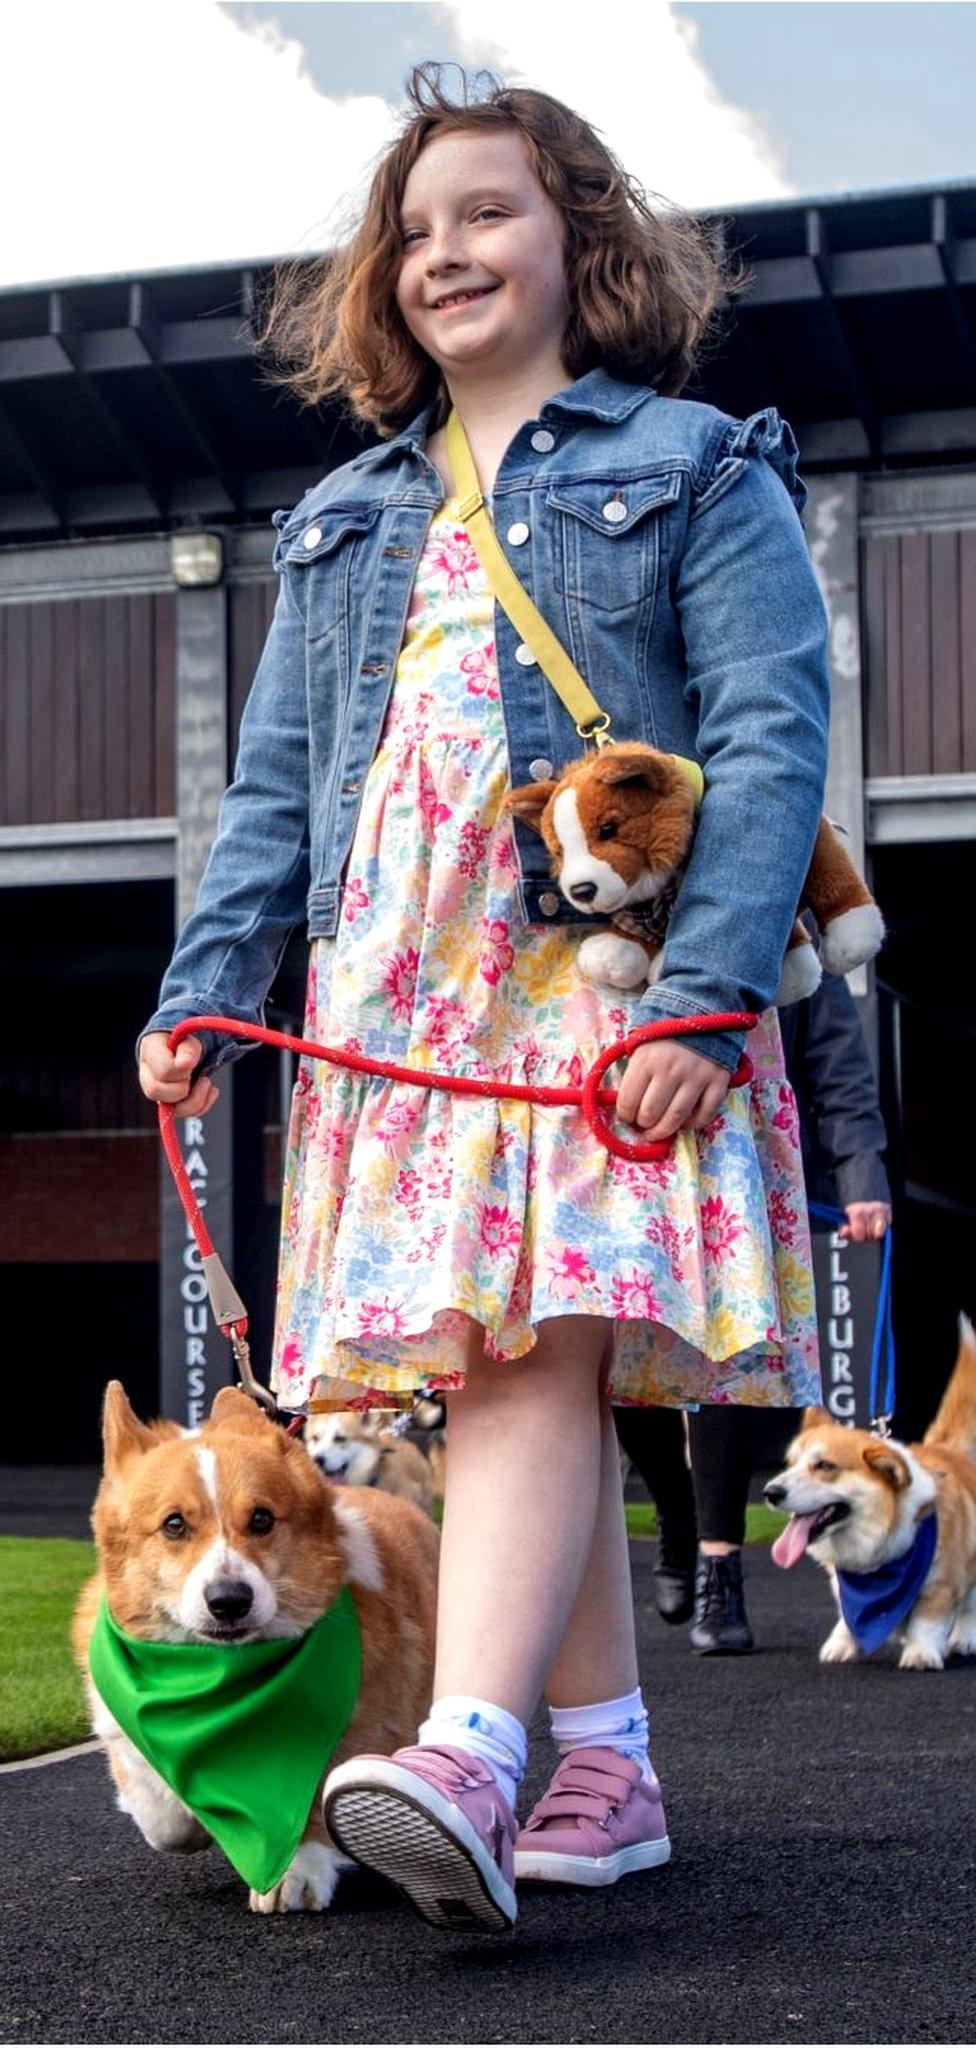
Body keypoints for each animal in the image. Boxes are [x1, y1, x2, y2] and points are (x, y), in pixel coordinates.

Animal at [501, 749, 883, 1011]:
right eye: (559, 851)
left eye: (608, 830)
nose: (581, 890)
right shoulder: (640, 908)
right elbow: (636, 927)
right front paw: (613, 954)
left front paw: (661, 966)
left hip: (813, 845)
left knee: (828, 884)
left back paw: (847, 941)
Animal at [761, 1318, 973, 1671]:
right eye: (789, 1463)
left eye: (824, 1465)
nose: (769, 1492)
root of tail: (948, 1450)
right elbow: (849, 1617)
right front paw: (841, 1645)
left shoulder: (940, 1585)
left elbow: (928, 1621)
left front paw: (921, 1653)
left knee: (969, 1602)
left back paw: (964, 1638)